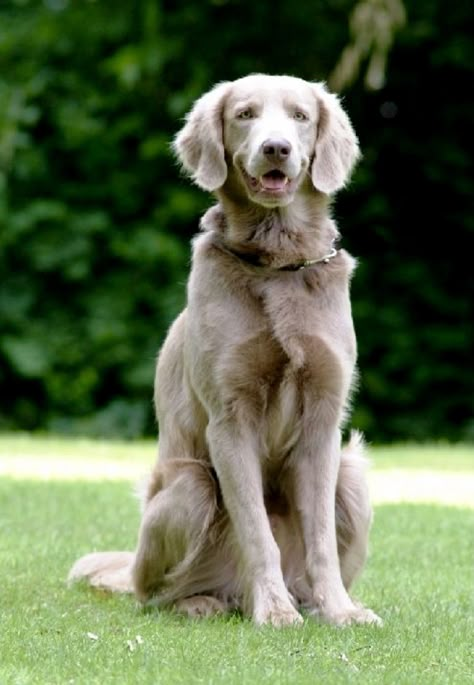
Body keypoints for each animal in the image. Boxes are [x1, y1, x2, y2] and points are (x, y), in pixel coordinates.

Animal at [69, 73, 382, 624]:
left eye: (300, 116)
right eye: (245, 114)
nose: (276, 148)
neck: (278, 264)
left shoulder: (324, 419)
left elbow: (321, 537)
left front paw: (341, 612)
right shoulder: (230, 417)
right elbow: (256, 531)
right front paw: (275, 612)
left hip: (353, 474)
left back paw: (321, 602)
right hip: (189, 486)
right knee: (153, 593)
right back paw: (202, 601)